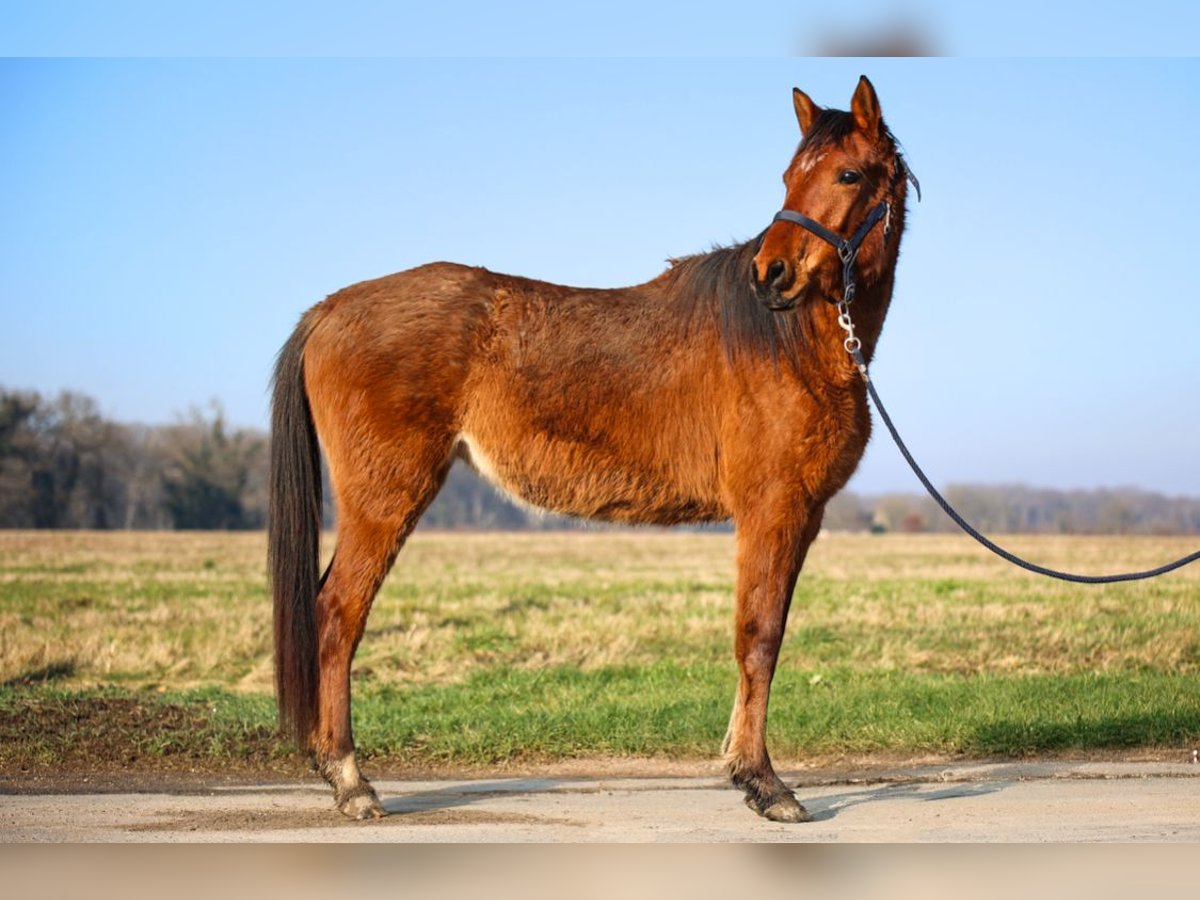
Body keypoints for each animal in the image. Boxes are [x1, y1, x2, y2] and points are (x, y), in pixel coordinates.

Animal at [270, 77, 907, 825]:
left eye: (846, 174)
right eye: (789, 177)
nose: (768, 274)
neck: (788, 341)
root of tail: (330, 309)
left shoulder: (803, 516)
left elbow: (764, 638)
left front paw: (739, 766)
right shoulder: (770, 510)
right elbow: (759, 637)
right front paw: (763, 782)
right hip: (384, 499)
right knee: (337, 616)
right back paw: (350, 780)